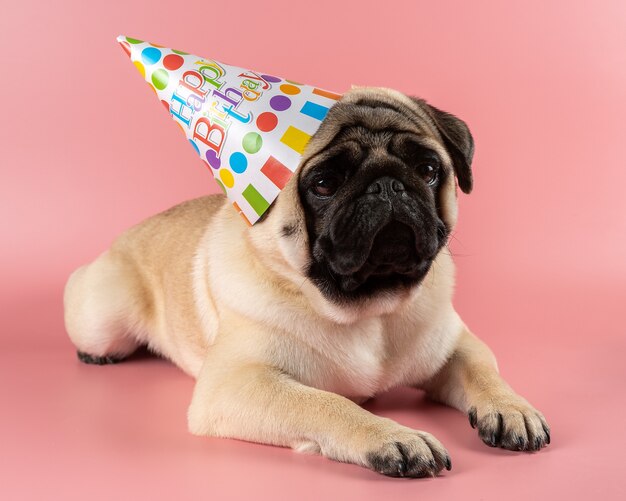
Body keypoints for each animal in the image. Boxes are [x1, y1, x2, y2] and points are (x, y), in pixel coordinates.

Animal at [64, 88, 544, 478]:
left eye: (427, 169)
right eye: (325, 184)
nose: (387, 185)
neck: (369, 307)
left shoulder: (455, 344)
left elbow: (484, 370)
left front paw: (511, 408)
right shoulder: (237, 385)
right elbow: (328, 404)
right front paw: (394, 437)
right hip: (103, 317)